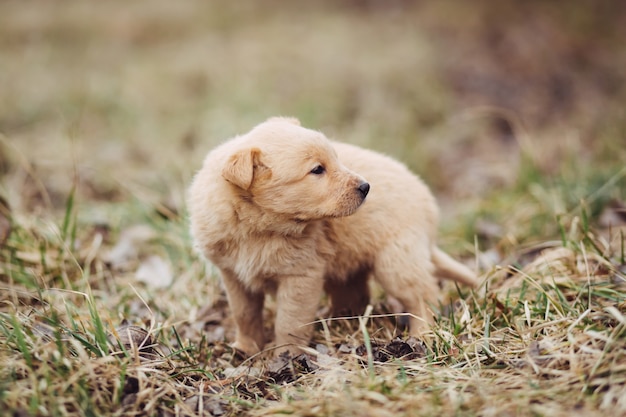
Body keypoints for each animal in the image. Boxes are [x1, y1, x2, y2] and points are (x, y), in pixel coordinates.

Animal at [188, 116, 476, 354]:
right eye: (317, 169)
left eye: (335, 160)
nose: (366, 187)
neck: (258, 228)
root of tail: (428, 206)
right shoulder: (233, 274)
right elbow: (244, 315)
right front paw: (246, 348)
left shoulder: (300, 276)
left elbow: (289, 322)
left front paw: (285, 356)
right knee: (356, 295)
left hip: (396, 261)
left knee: (424, 297)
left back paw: (423, 334)